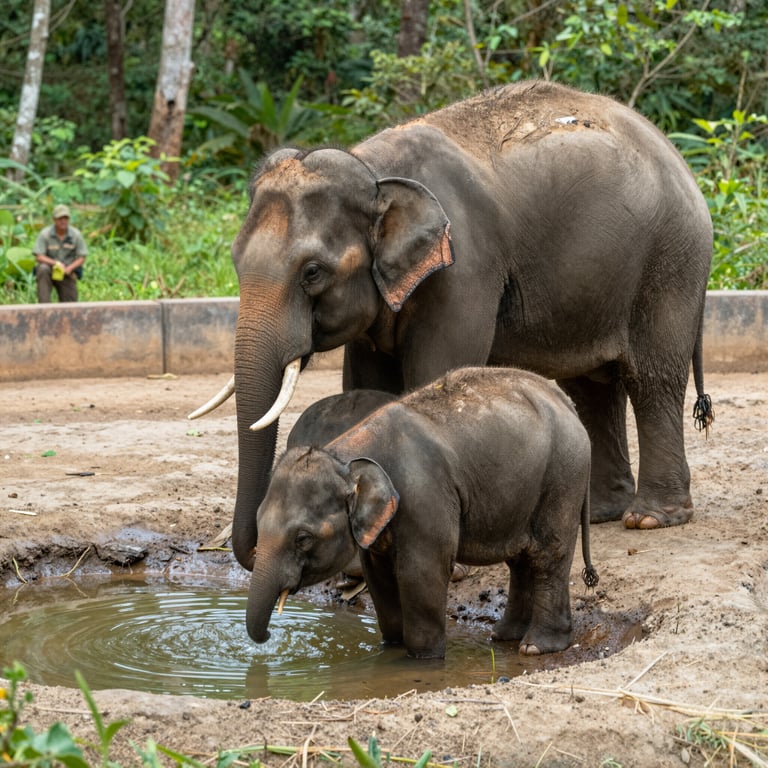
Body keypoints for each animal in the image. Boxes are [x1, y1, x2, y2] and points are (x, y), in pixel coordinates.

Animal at [189, 79, 714, 573]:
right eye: (234, 260)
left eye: (313, 272)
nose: (245, 546)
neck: (374, 173)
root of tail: (679, 157)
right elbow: (365, 382)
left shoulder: (464, 266)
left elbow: (436, 371)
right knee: (591, 386)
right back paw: (605, 510)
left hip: (671, 264)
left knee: (651, 379)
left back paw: (650, 518)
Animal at [247, 366, 599, 660]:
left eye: (303, 538)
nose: (267, 638)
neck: (346, 456)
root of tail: (565, 401)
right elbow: (379, 576)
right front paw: (391, 646)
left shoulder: (424, 496)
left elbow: (421, 573)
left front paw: (422, 658)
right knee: (521, 559)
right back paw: (504, 637)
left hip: (563, 475)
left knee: (548, 555)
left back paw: (536, 647)